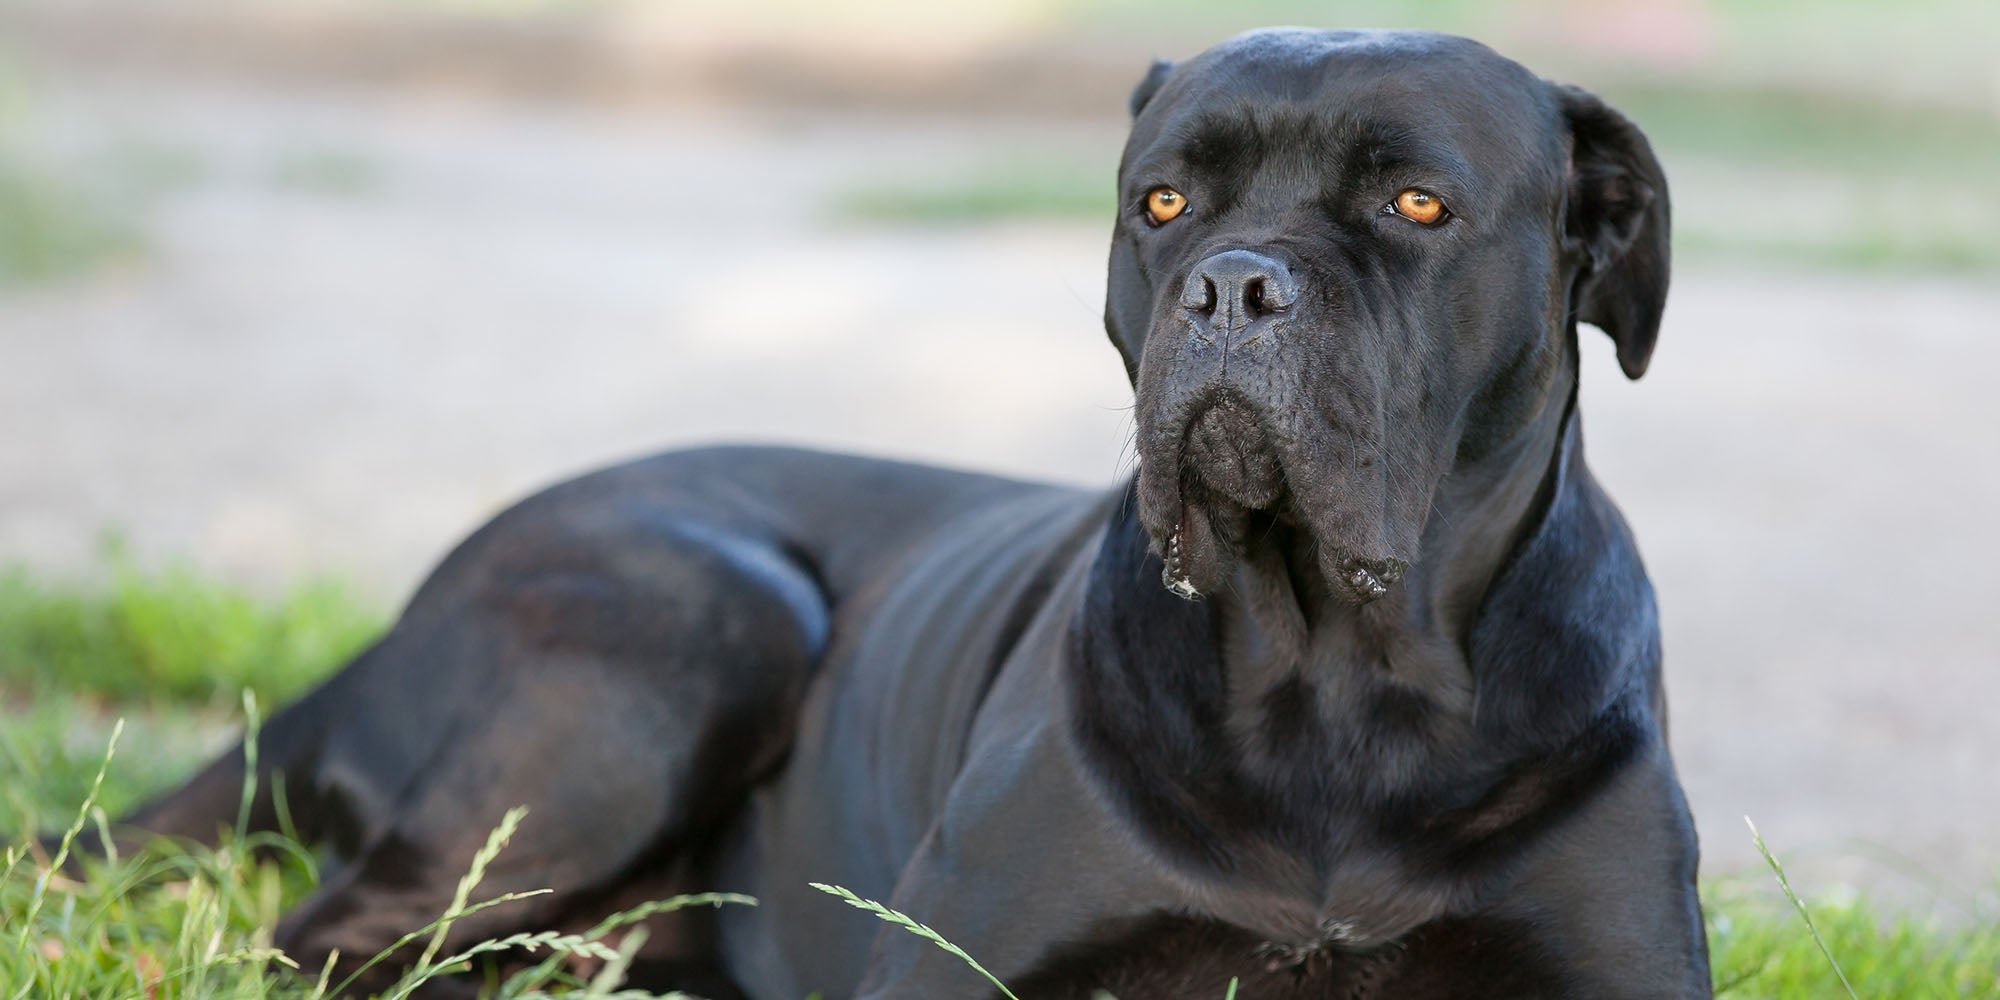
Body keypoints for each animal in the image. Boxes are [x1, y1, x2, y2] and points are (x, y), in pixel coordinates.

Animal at [101, 27, 1712, 996]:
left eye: (1416, 206)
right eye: (1165, 204)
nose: (1233, 286)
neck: (1336, 689)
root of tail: (392, 623)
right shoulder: (954, 957)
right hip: (699, 620)